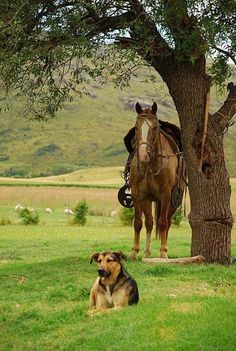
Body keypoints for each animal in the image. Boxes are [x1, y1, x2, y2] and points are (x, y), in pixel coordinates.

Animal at [128, 100, 185, 260]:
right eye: (136, 127)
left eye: (154, 128)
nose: (143, 155)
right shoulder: (137, 194)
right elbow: (138, 223)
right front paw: (134, 251)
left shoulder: (166, 195)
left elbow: (163, 223)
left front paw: (163, 253)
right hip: (148, 200)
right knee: (149, 223)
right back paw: (147, 252)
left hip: (172, 202)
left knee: (167, 222)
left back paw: (163, 249)